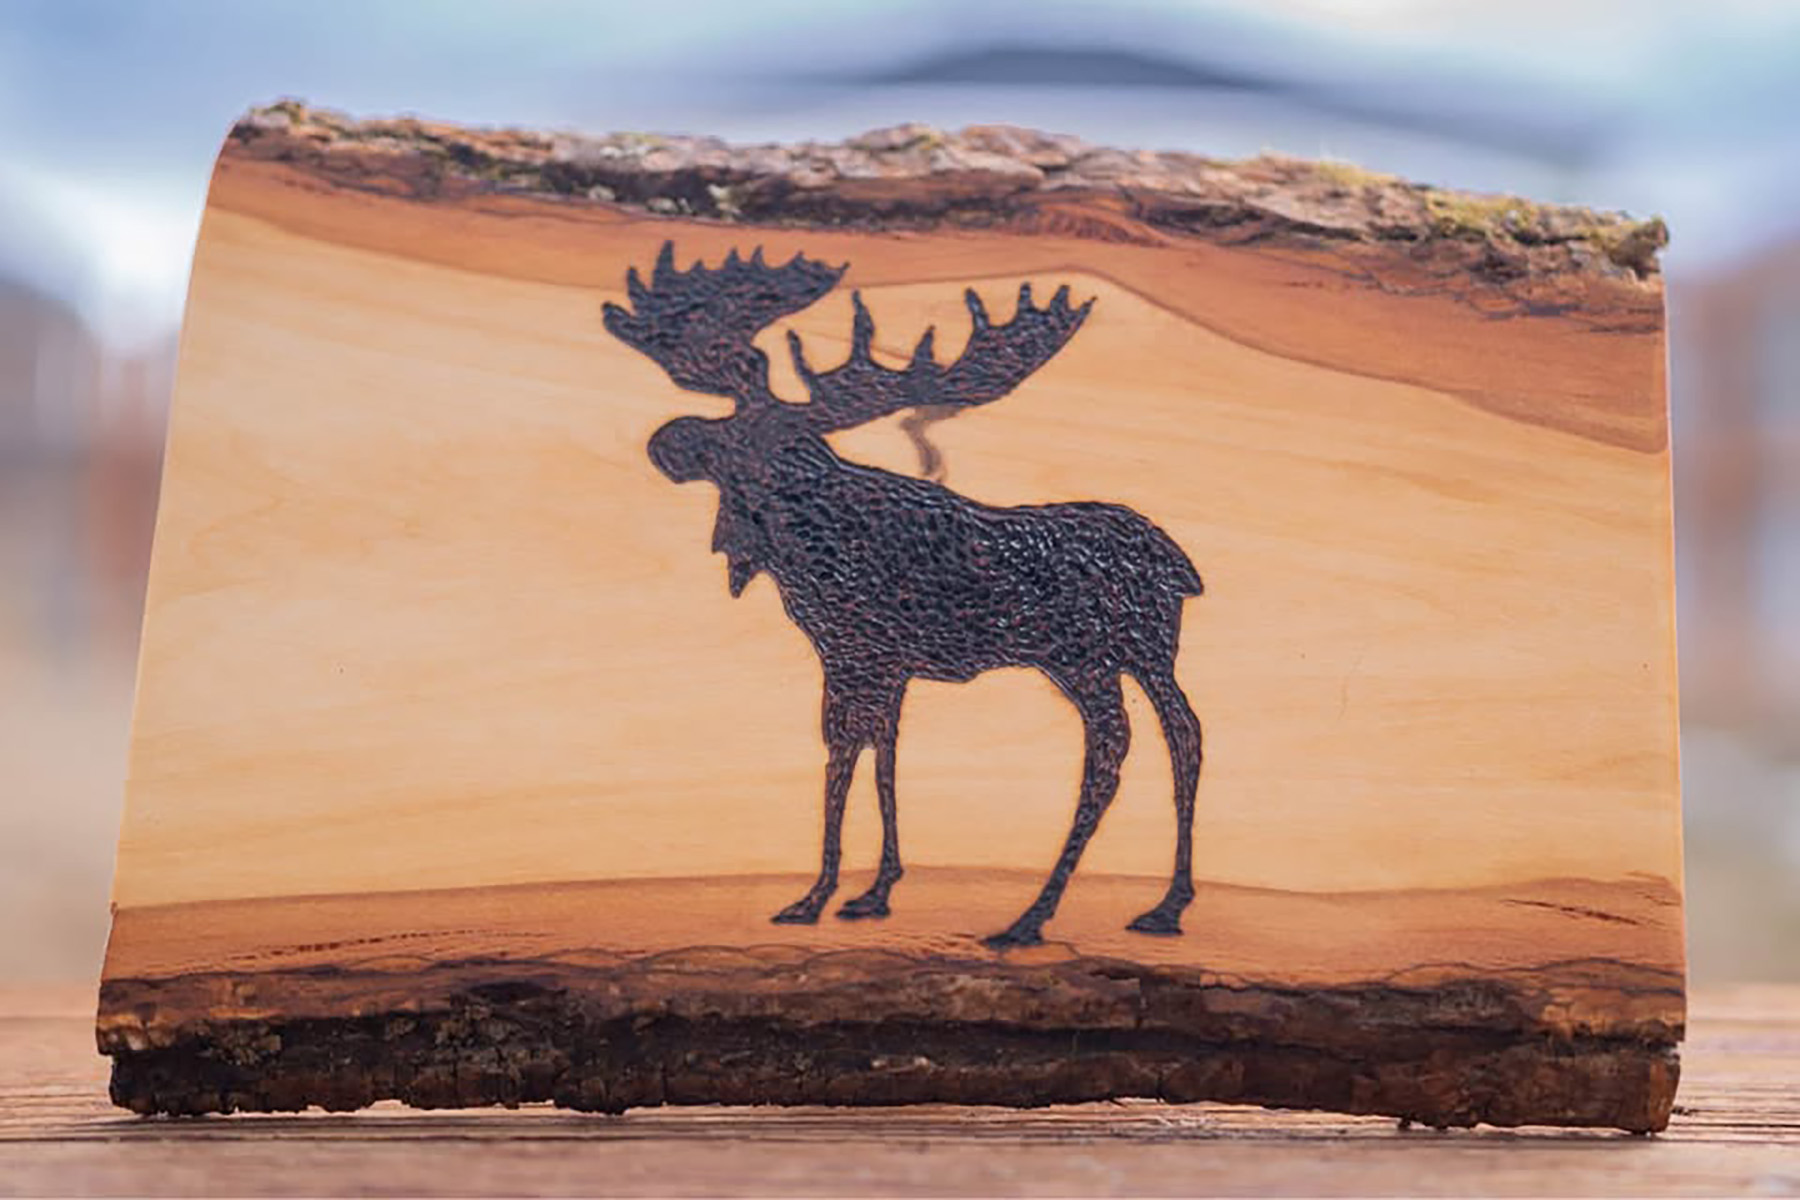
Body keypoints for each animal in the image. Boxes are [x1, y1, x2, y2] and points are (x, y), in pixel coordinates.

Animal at [603, 242, 1204, 948]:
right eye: (729, 424)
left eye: (756, 446)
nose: (664, 443)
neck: (807, 545)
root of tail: (1181, 567)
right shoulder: (879, 663)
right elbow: (881, 749)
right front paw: (873, 890)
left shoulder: (858, 651)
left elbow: (844, 752)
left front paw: (815, 896)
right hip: (1140, 656)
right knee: (1182, 732)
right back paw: (1163, 904)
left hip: (1086, 657)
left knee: (1117, 748)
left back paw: (1032, 918)